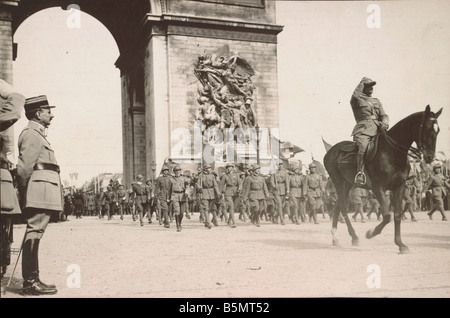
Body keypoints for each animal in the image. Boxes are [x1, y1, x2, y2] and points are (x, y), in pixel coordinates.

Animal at [324, 105, 442, 255]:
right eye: (427, 128)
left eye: (438, 130)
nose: (430, 157)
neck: (392, 153)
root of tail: (330, 151)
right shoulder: (378, 188)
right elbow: (386, 216)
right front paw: (370, 233)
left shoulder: (399, 188)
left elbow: (397, 215)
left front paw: (401, 244)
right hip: (338, 182)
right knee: (343, 207)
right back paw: (353, 237)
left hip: (348, 184)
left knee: (339, 204)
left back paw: (336, 237)